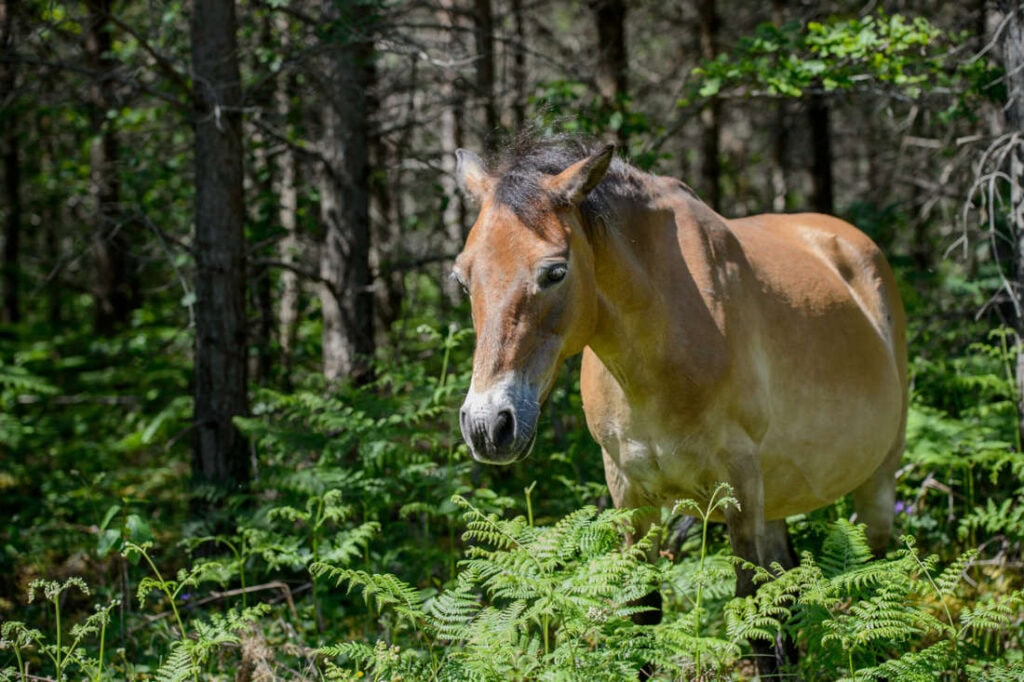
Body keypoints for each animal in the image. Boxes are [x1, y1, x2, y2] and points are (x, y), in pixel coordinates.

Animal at [452, 137, 908, 675]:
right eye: (463, 278)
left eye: (555, 272)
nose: (487, 425)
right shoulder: (629, 491)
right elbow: (644, 614)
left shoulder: (737, 483)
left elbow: (751, 616)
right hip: (772, 497)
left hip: (875, 481)